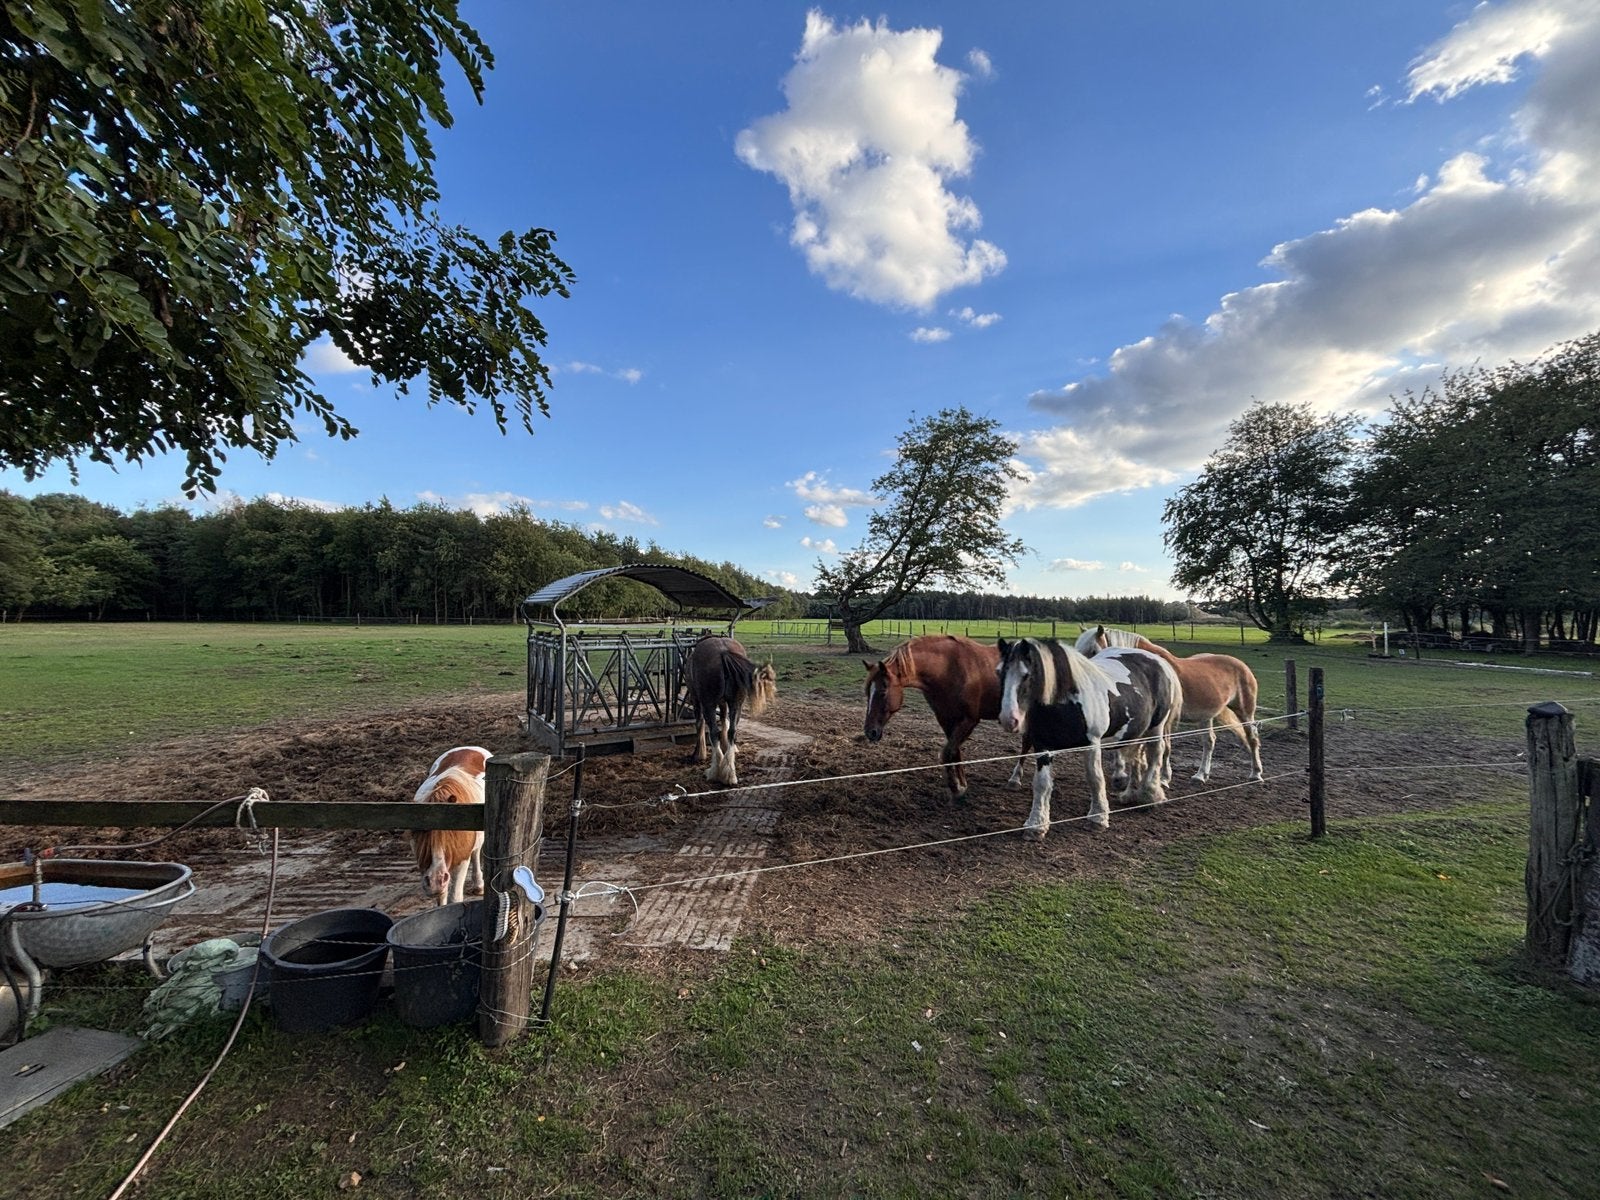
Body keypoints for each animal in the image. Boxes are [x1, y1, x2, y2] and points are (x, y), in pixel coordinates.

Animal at [410, 745, 490, 907]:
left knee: (476, 853)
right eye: (417, 831)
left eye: (451, 829)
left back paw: (479, 886)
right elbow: (442, 898)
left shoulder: (462, 861)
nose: (434, 881)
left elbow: (455, 898)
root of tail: (470, 747)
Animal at [685, 635, 777, 786]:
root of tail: (724, 652)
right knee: (732, 732)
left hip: (709, 704)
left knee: (713, 732)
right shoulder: (724, 703)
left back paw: (715, 772)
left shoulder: (697, 700)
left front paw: (698, 754)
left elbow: (700, 723)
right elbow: (724, 720)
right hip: (736, 704)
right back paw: (730, 773)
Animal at [862, 635, 1027, 799]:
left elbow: (947, 753)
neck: (948, 670)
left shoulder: (969, 720)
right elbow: (954, 751)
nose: (870, 732)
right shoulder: (945, 719)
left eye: (883, 692)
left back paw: (1015, 780)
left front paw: (955, 787)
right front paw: (962, 784)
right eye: (868, 692)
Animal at [997, 638, 1181, 837]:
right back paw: (1130, 794)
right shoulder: (1043, 746)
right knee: (1138, 759)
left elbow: (1095, 779)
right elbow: (1041, 784)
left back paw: (1149, 796)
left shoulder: (1092, 743)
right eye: (999, 672)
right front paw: (1036, 826)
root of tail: (1159, 661)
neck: (1067, 700)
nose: (1009, 719)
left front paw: (1098, 818)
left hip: (1156, 728)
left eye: (1027, 675)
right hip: (1137, 732)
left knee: (1156, 755)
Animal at [1075, 625, 1263, 783]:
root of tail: (1241, 665)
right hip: (1206, 716)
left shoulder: (1163, 721)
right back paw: (1201, 775)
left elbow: (1163, 747)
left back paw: (1256, 774)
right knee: (1209, 742)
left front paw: (1163, 777)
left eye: (1093, 650)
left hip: (1245, 711)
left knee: (1252, 738)